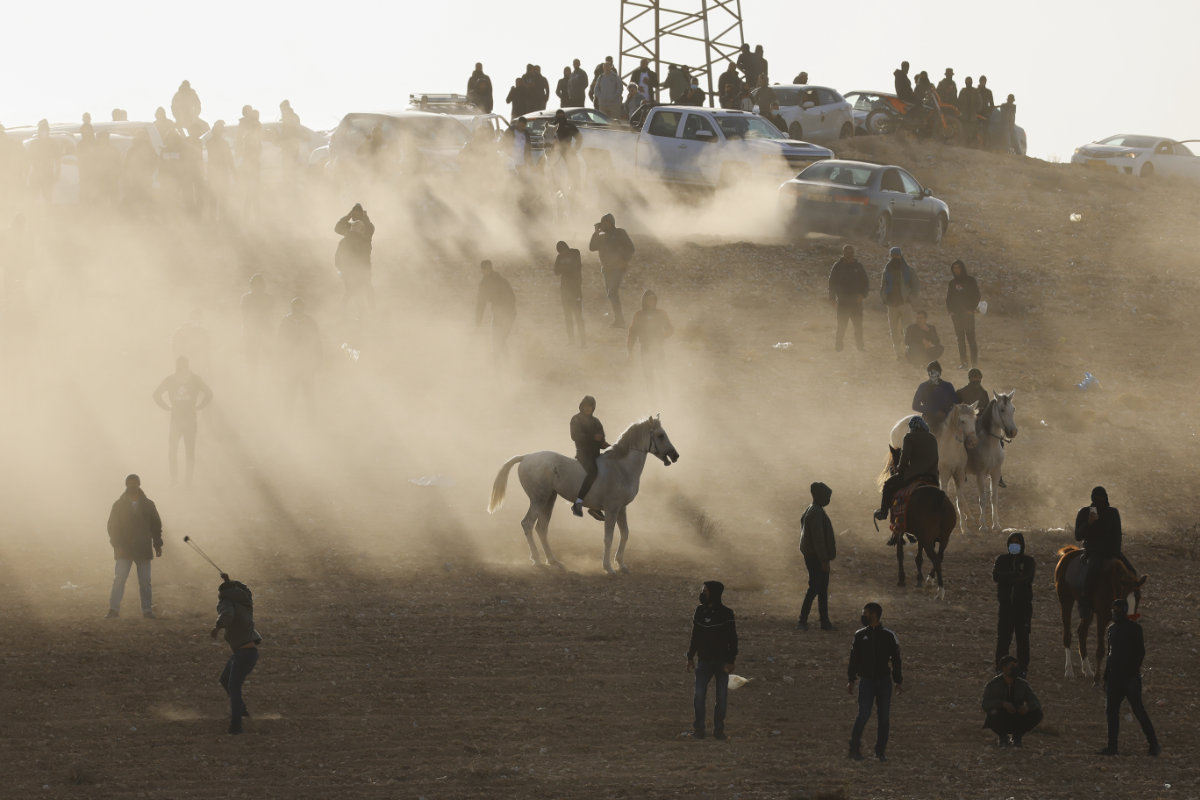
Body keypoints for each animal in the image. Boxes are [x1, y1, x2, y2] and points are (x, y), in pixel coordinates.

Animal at [484, 419, 676, 575]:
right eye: (660, 435)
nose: (675, 455)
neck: (621, 467)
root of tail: (525, 457)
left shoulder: (621, 509)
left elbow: (625, 533)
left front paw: (621, 564)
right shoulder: (612, 510)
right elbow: (608, 538)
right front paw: (608, 567)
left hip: (550, 499)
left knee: (541, 527)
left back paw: (553, 561)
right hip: (538, 499)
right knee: (528, 524)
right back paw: (537, 560)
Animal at [883, 443, 955, 599]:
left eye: (892, 465)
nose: (892, 473)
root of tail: (939, 498)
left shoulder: (899, 528)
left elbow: (900, 554)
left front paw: (902, 579)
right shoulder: (920, 535)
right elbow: (918, 557)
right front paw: (919, 579)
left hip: (928, 539)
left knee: (936, 559)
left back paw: (940, 590)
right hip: (943, 537)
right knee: (940, 556)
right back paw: (930, 579)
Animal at [964, 393, 1022, 532]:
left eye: (1013, 409)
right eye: (1002, 410)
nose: (1013, 432)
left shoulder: (995, 474)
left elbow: (994, 498)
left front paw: (996, 524)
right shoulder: (980, 475)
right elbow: (982, 500)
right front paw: (983, 525)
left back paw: (968, 515)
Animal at [1056, 546, 1147, 686]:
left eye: (1138, 597)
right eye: (1124, 598)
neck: (1112, 586)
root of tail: (1069, 553)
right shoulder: (1102, 618)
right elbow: (1101, 650)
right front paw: (1097, 680)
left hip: (1088, 611)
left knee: (1082, 632)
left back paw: (1087, 670)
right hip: (1066, 601)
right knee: (1067, 635)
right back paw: (1069, 670)